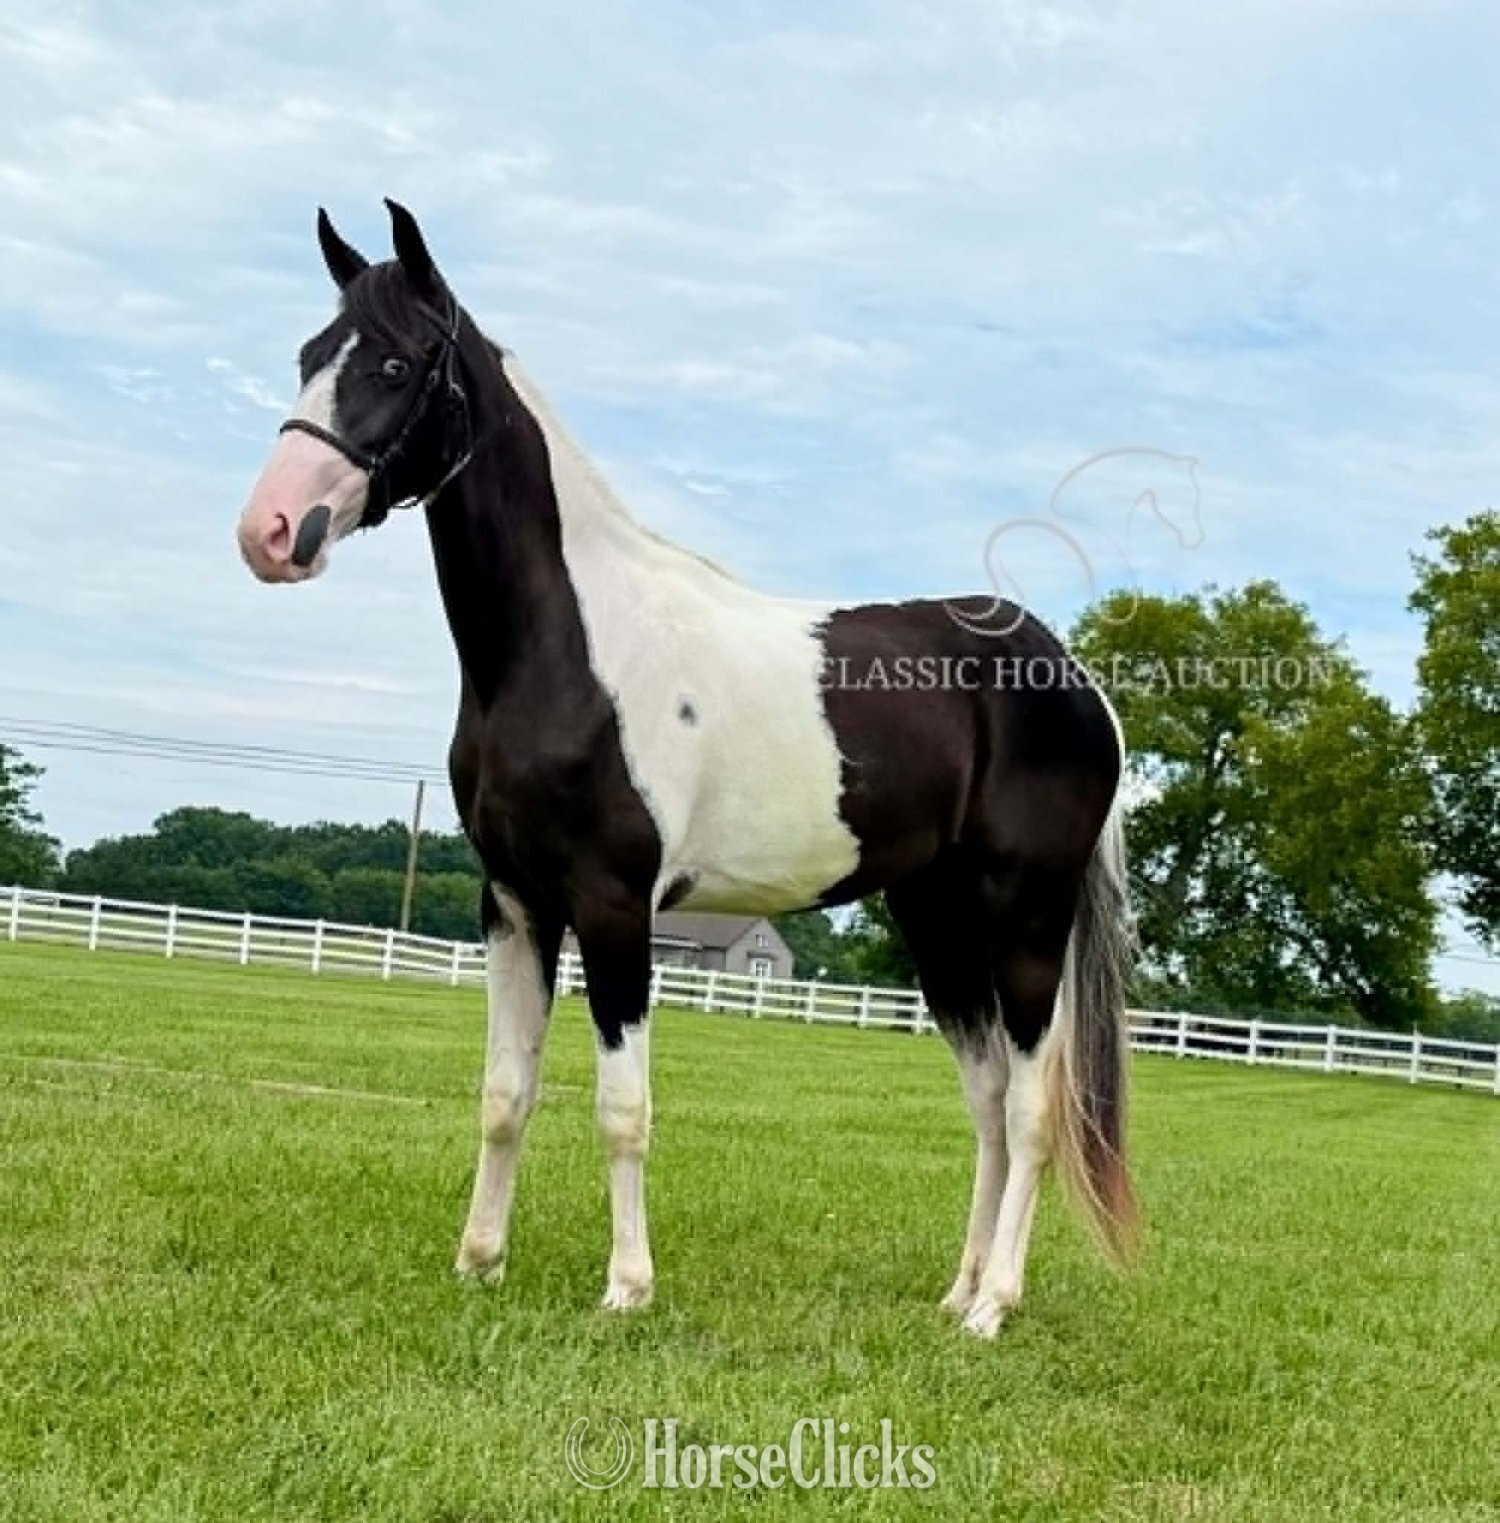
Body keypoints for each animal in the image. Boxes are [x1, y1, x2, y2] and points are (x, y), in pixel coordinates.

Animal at [235, 200, 1138, 1338]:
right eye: (312, 356)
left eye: (395, 363)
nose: (270, 532)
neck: (570, 642)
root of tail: (1074, 678)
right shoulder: (515, 903)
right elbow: (504, 1091)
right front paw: (479, 1261)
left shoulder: (615, 905)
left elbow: (622, 1107)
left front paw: (627, 1286)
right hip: (935, 918)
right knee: (981, 1098)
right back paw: (957, 1291)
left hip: (1024, 918)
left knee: (1027, 1104)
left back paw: (995, 1307)